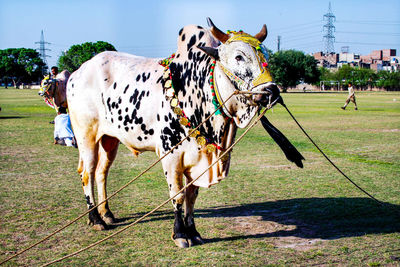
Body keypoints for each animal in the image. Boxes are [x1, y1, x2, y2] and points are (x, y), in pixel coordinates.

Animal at [68, 18, 296, 249]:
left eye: (266, 56)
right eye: (238, 56)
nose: (272, 91)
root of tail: (78, 72)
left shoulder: (196, 159)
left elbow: (191, 196)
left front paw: (193, 231)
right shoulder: (171, 156)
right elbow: (177, 195)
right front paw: (179, 234)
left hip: (109, 140)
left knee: (101, 173)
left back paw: (107, 213)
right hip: (86, 137)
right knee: (87, 173)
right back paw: (95, 218)